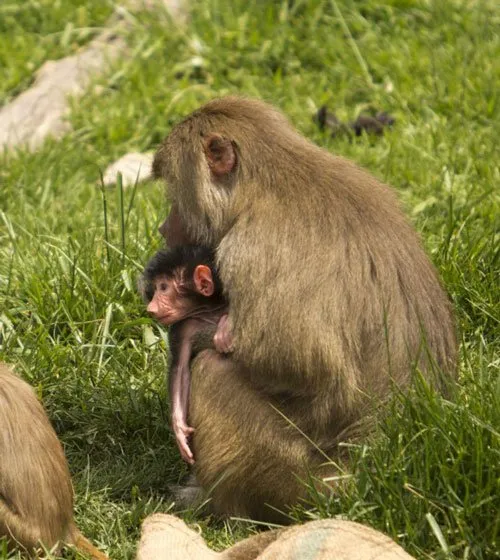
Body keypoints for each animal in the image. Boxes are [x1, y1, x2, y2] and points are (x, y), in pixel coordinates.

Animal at [142, 245, 229, 464]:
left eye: (163, 287)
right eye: (157, 288)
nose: (150, 307)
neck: (210, 311)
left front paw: (226, 327)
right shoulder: (182, 328)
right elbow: (180, 370)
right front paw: (179, 430)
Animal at [152, 97, 458, 524]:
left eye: (174, 195)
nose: (164, 228)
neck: (262, 187)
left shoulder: (250, 251)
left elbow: (300, 362)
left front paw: (199, 331)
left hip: (294, 481)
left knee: (212, 371)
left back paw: (220, 506)